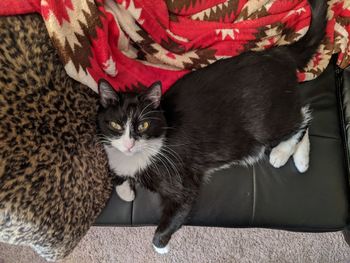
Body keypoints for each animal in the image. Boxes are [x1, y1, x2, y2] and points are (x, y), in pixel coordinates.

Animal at [97, 0, 326, 256]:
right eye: (116, 124)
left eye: (144, 125)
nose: (128, 144)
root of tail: (278, 53)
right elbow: (119, 180)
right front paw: (126, 190)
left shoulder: (181, 181)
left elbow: (179, 208)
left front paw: (160, 246)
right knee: (302, 112)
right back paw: (299, 159)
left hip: (264, 122)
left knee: (303, 116)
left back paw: (283, 154)